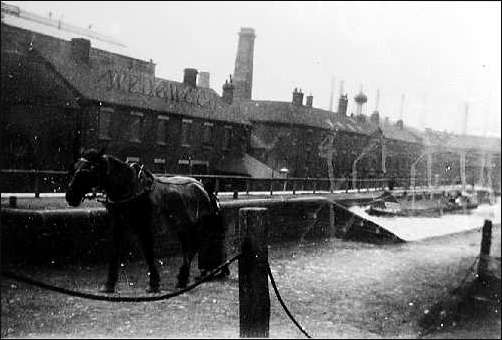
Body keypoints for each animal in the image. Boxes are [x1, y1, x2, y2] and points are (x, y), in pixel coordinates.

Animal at [65, 150, 226, 294]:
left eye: (87, 170)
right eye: (74, 168)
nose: (70, 196)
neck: (131, 188)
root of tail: (203, 188)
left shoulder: (143, 227)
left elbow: (148, 253)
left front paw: (153, 284)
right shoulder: (118, 225)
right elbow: (115, 251)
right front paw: (109, 284)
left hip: (197, 227)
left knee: (194, 248)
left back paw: (183, 277)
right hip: (183, 228)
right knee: (189, 249)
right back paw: (183, 279)